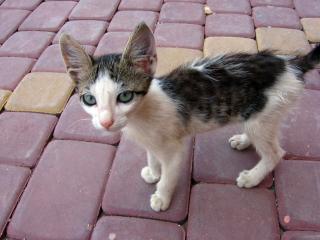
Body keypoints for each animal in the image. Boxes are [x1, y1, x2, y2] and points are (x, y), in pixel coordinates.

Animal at [59, 21, 320, 211]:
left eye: (124, 96)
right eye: (89, 99)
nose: (106, 122)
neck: (140, 117)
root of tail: (290, 65)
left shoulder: (174, 149)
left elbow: (169, 175)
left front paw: (161, 197)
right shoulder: (152, 142)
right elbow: (152, 156)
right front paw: (153, 171)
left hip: (266, 114)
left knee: (275, 153)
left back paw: (252, 177)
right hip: (259, 115)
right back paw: (243, 140)